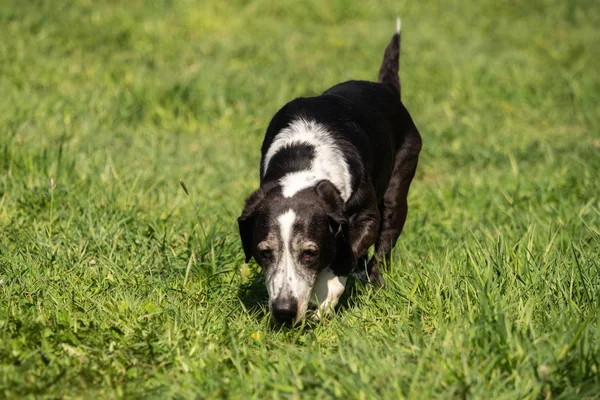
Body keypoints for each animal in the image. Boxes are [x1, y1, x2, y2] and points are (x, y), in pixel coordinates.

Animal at [239, 18, 422, 324]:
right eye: (264, 252)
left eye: (309, 253)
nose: (284, 312)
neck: (304, 157)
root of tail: (385, 89)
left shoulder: (365, 216)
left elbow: (344, 257)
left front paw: (325, 295)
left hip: (401, 180)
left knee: (384, 241)